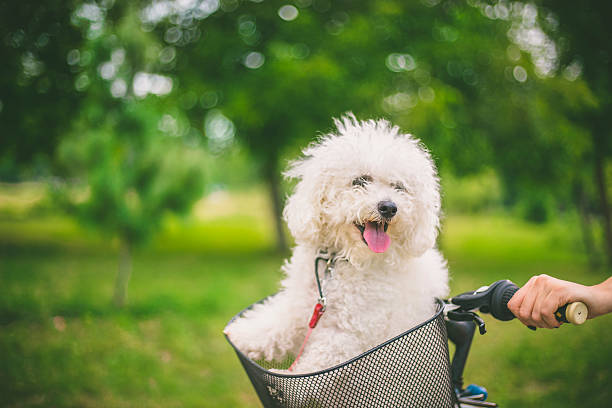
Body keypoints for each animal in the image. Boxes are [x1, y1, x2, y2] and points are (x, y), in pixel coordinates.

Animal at [226, 113, 450, 374]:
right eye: (360, 181)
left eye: (399, 187)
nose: (389, 207)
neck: (340, 261)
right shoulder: (301, 307)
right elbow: (277, 323)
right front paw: (243, 334)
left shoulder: (346, 333)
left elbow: (315, 366)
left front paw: (285, 378)